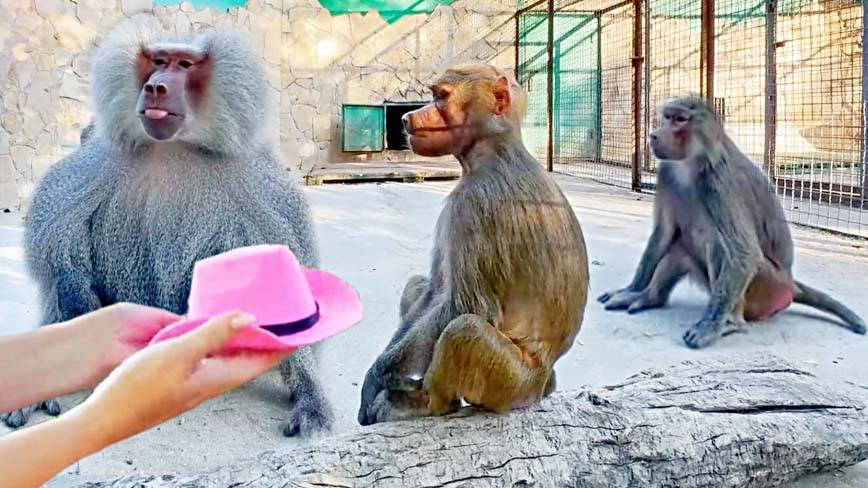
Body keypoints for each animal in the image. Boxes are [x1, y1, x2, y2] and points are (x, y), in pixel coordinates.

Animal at [1, 17, 333, 437]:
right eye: (159, 61)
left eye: (184, 65)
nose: (155, 86)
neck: (175, 146)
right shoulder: (100, 159)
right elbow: (58, 230)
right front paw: (74, 291)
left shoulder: (256, 180)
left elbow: (282, 275)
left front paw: (308, 393)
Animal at [357, 64, 589, 425]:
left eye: (440, 96)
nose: (407, 118)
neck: (493, 151)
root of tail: (540, 382)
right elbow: (436, 290)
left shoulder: (473, 205)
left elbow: (465, 306)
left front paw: (376, 379)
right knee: (421, 288)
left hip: (509, 381)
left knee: (464, 331)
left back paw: (431, 404)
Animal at [598, 95, 866, 349]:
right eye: (666, 117)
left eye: (680, 120)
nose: (654, 134)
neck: (692, 162)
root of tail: (790, 282)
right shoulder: (667, 173)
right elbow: (664, 233)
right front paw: (631, 290)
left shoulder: (719, 184)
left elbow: (744, 252)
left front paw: (710, 325)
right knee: (681, 246)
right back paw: (651, 298)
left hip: (769, 289)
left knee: (720, 247)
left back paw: (731, 322)